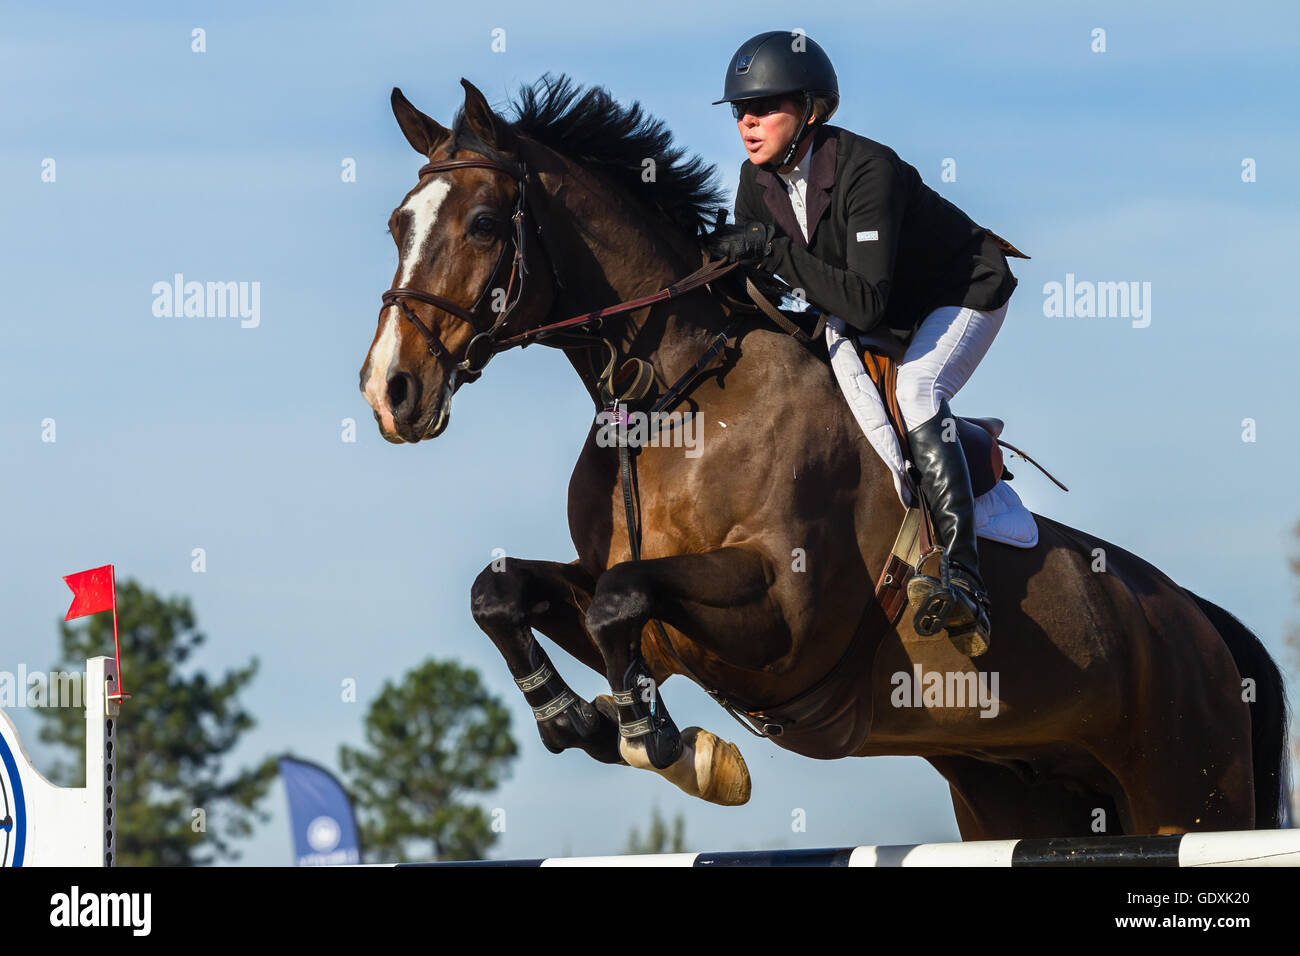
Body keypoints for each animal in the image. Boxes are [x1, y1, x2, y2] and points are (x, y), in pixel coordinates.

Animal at [358, 74, 1289, 839]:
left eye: (484, 224)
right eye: (397, 224)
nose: (389, 391)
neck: (673, 400)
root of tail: (1202, 624)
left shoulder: (784, 618)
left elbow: (620, 602)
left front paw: (672, 747)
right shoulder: (646, 616)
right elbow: (505, 592)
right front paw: (576, 721)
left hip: (1187, 791)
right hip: (1017, 794)